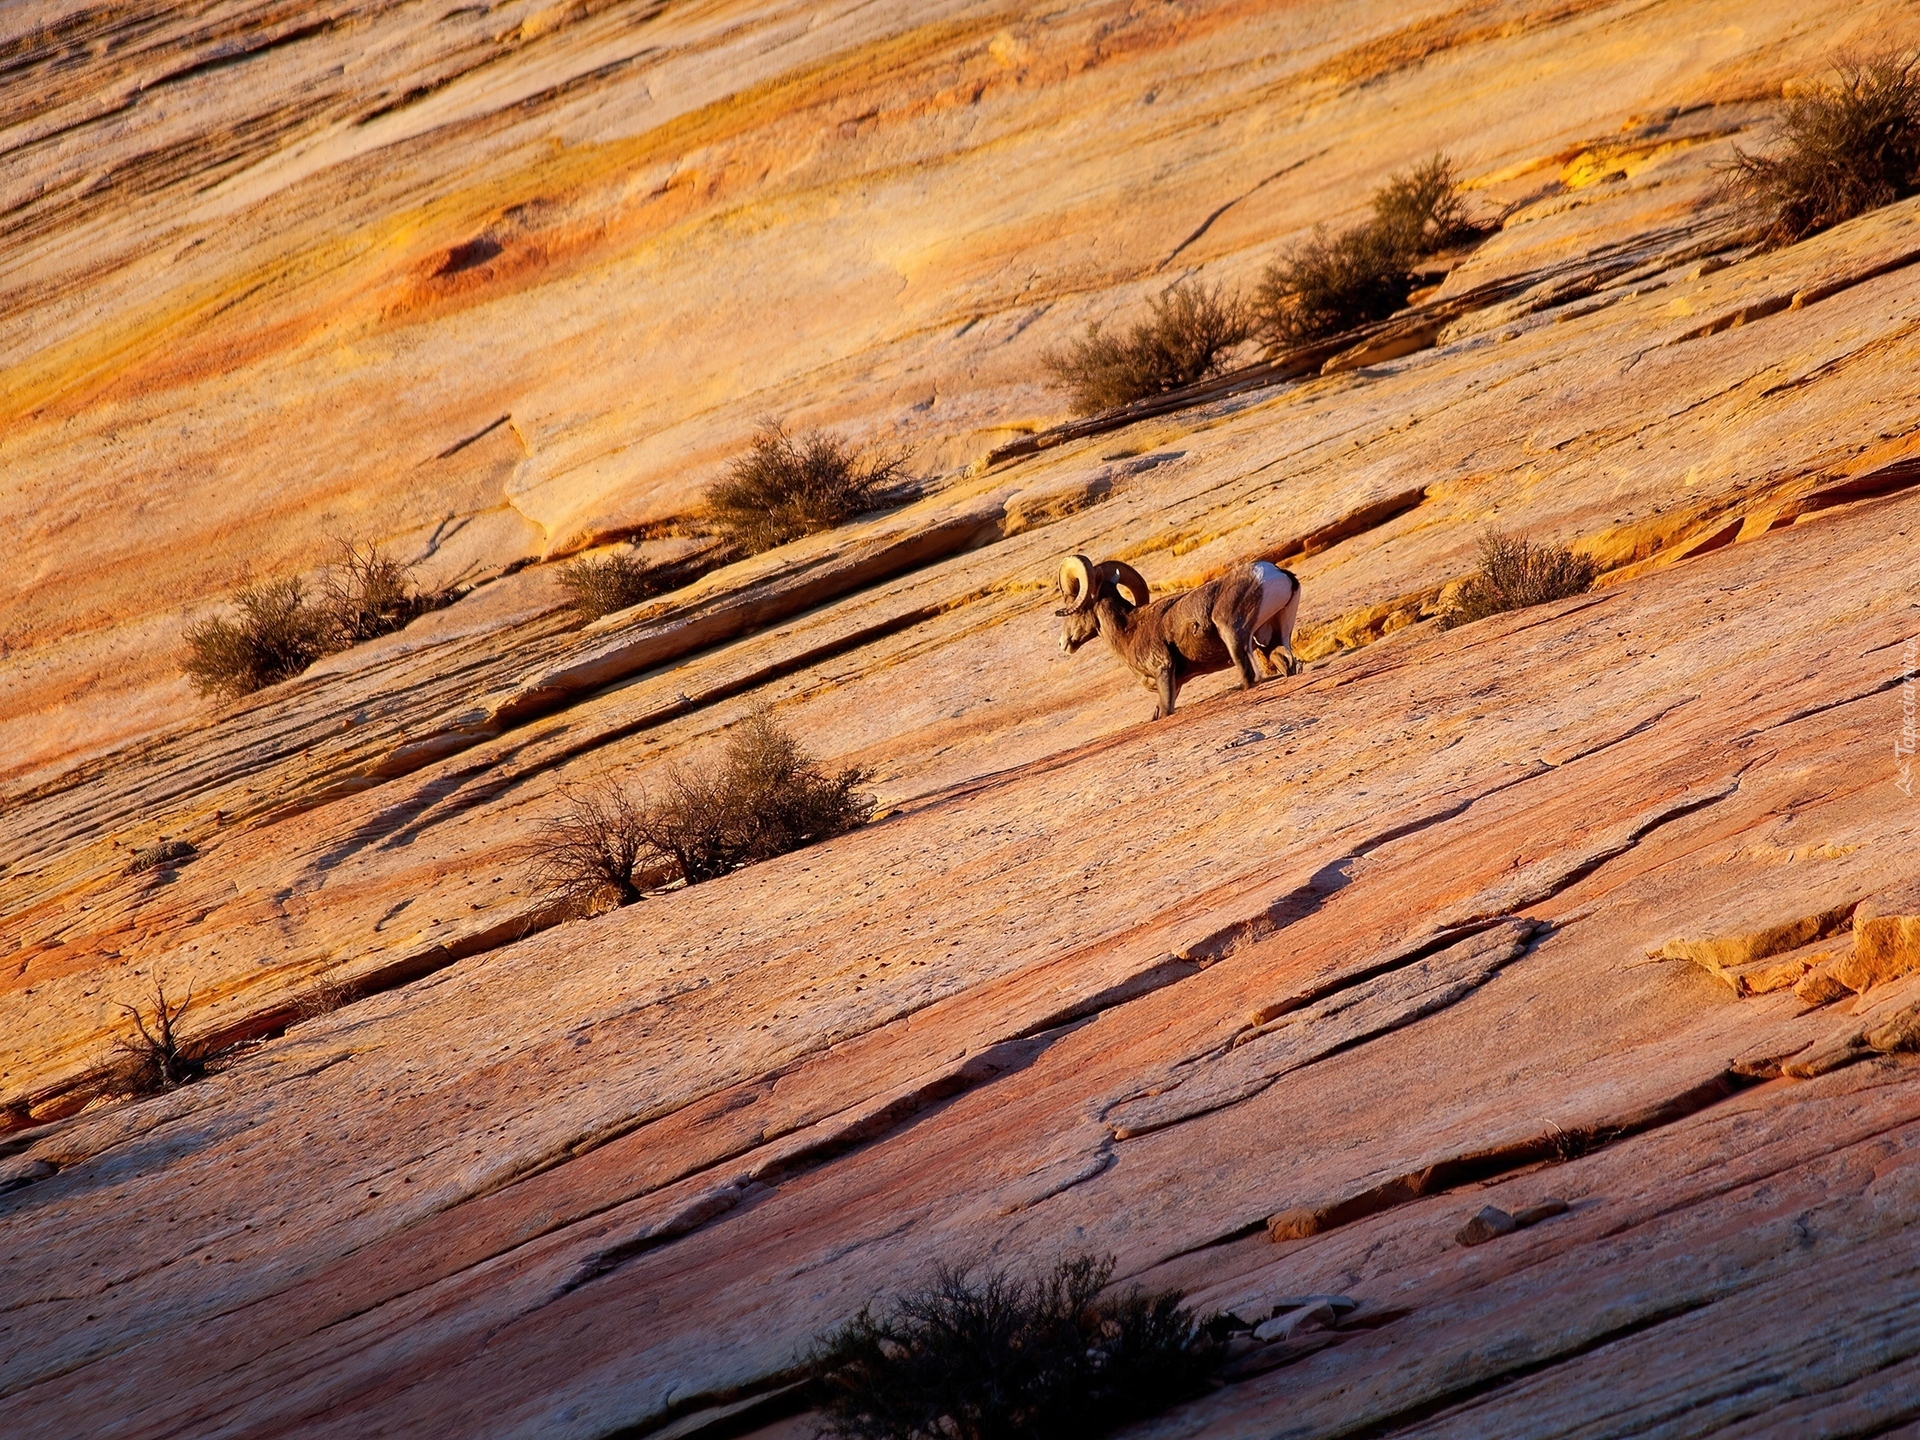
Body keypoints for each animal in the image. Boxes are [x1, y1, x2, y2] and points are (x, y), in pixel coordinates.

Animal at [1052, 556, 1305, 718]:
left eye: (1073, 604)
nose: (1063, 643)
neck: (1128, 631)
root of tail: (1277, 574)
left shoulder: (1164, 671)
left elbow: (1165, 712)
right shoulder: (1175, 684)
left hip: (1232, 634)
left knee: (1250, 676)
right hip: (1272, 640)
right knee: (1286, 663)